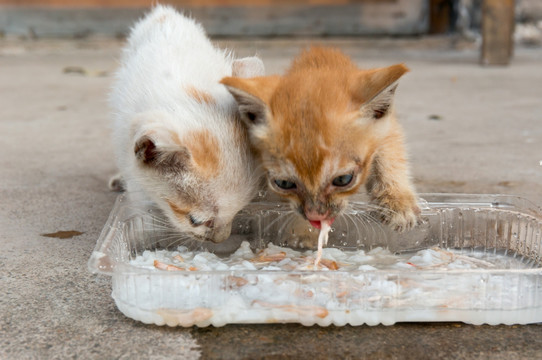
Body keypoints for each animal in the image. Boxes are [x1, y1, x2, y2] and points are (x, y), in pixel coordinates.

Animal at [223, 46, 422, 232]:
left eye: (343, 179)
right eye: (284, 183)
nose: (316, 216)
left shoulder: (386, 127)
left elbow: (390, 156)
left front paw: (398, 203)